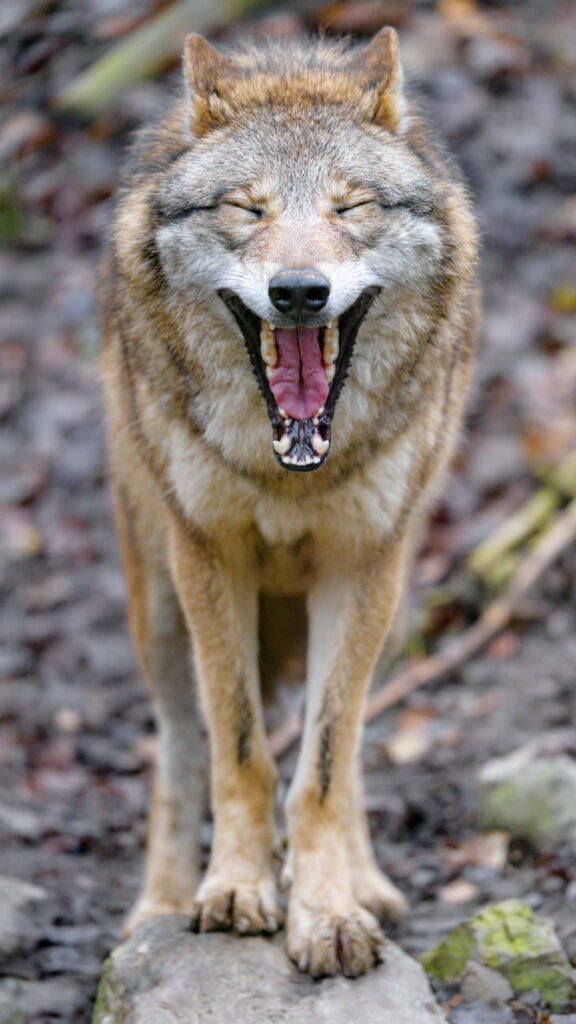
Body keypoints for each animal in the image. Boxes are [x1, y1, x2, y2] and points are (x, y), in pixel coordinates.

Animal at [100, 26, 479, 978]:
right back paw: (159, 905)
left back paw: (367, 883)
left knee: (346, 743)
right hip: (157, 604)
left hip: (396, 590)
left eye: (351, 208)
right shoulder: (209, 558)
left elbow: (324, 766)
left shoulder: (363, 563)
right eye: (247, 209)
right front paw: (236, 891)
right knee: (179, 748)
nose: (300, 291)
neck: (292, 466)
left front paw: (330, 912)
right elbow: (238, 751)